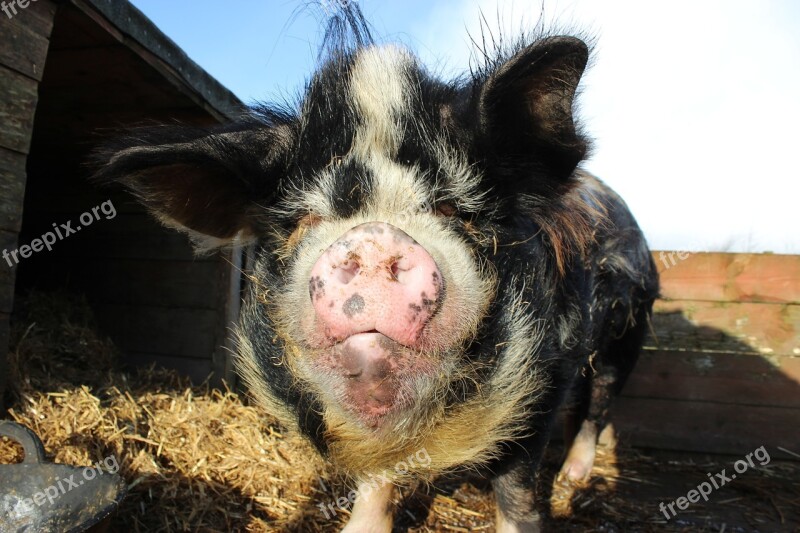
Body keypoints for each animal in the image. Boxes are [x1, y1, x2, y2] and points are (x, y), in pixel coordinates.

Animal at [92, 6, 656, 528]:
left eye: (454, 210)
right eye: (306, 218)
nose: (373, 238)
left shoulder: (543, 382)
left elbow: (516, 492)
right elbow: (376, 477)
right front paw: (357, 527)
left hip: (630, 332)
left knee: (600, 403)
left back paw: (573, 478)